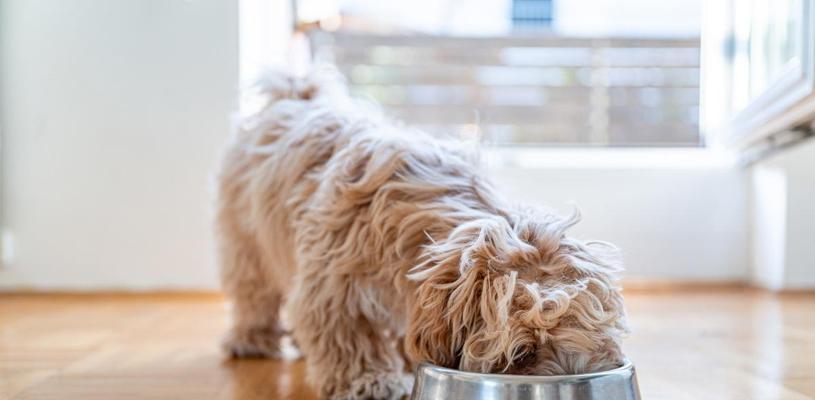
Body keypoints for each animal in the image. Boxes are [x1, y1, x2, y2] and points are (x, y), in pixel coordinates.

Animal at [214, 67, 628, 398]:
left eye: (589, 335)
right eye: (523, 353)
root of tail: (295, 94)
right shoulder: (334, 282)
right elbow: (348, 333)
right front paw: (370, 380)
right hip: (246, 237)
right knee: (254, 291)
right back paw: (252, 337)